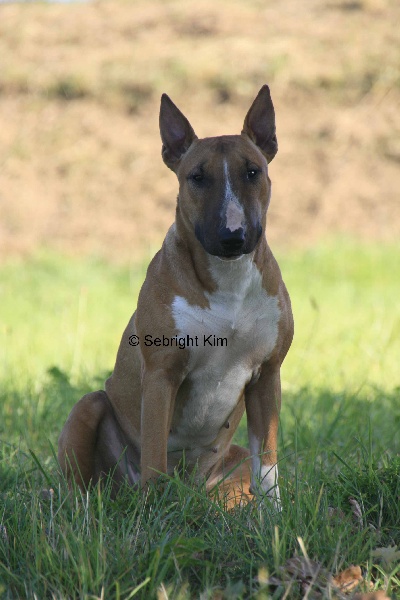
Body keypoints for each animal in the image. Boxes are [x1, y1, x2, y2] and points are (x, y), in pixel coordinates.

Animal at [57, 83, 294, 506]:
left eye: (253, 171)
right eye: (196, 177)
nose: (232, 236)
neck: (227, 282)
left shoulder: (267, 375)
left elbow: (267, 459)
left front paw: (274, 515)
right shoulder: (161, 375)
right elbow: (153, 452)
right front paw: (151, 510)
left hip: (229, 461)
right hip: (91, 406)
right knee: (80, 486)